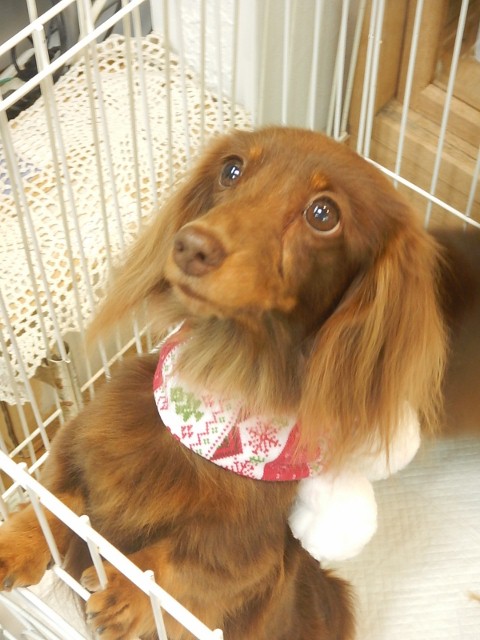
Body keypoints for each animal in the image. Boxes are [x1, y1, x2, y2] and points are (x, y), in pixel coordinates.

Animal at [0, 127, 479, 640]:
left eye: (324, 214)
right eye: (232, 169)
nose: (191, 246)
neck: (209, 406)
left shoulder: (248, 558)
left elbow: (184, 564)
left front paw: (129, 592)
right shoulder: (80, 443)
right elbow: (58, 499)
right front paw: (16, 543)